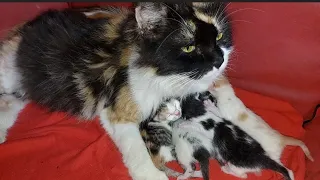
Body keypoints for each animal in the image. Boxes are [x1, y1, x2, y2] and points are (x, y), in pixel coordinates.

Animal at [1, 1, 234, 180]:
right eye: (189, 47)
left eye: (219, 36)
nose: (219, 59)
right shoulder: (119, 111)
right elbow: (138, 152)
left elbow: (230, 99)